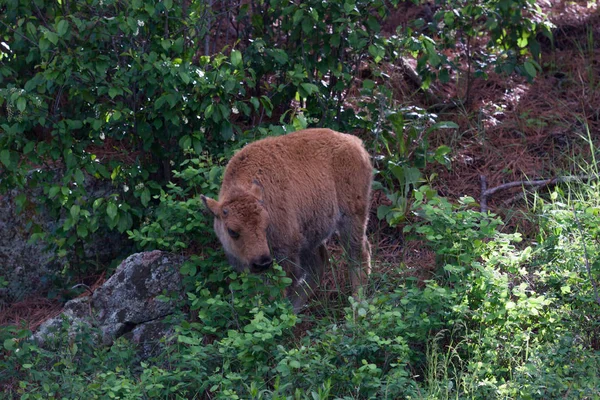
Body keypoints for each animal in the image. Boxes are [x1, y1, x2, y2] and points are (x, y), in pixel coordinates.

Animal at [202, 130, 370, 310]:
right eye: (232, 231)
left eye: (266, 224)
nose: (262, 263)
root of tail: (355, 143)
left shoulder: (286, 253)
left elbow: (279, 287)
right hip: (311, 234)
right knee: (320, 264)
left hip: (352, 218)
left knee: (358, 255)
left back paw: (357, 305)